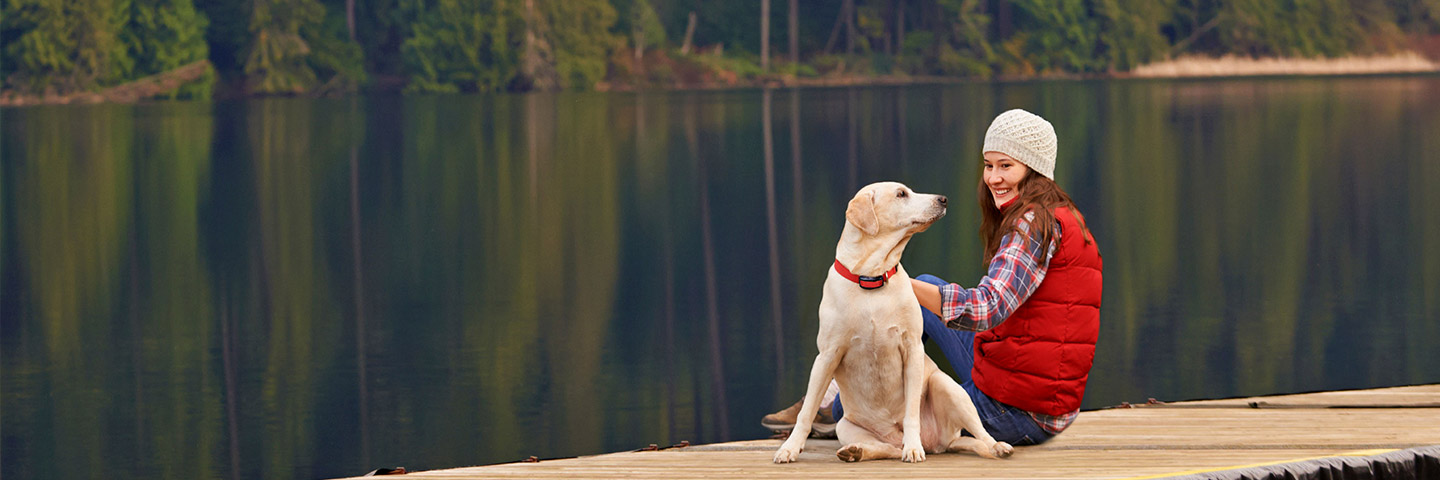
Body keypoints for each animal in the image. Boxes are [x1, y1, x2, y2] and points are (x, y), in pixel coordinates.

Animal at [777, 179, 1013, 461]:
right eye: (901, 194)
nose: (943, 199)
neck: (872, 277)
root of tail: (940, 444)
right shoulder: (826, 356)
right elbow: (807, 411)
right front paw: (790, 448)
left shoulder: (912, 349)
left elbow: (911, 412)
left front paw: (913, 447)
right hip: (846, 426)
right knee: (885, 449)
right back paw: (856, 451)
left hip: (946, 386)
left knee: (980, 432)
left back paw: (994, 446)